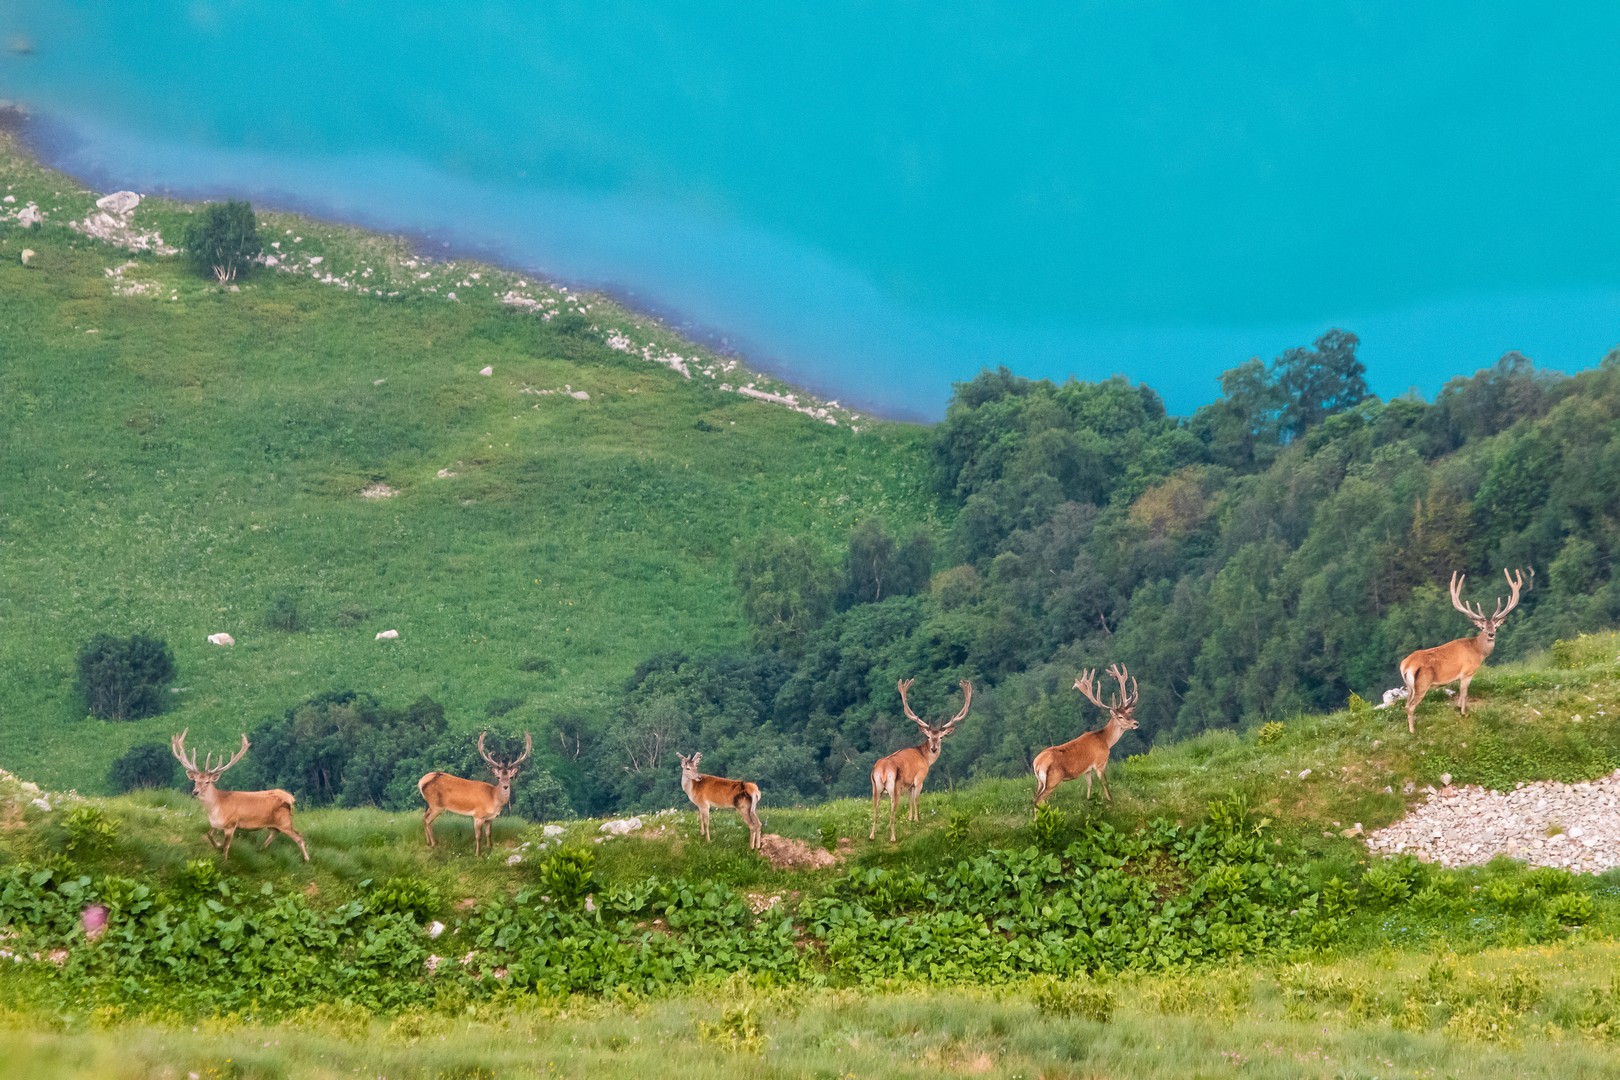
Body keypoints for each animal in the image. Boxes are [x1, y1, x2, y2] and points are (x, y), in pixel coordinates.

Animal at [169, 725, 307, 861]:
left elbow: (227, 847)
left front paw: (224, 860)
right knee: (274, 833)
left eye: (207, 782)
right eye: (195, 780)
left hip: (285, 821)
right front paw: (218, 845)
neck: (217, 807)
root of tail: (291, 798)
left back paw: (306, 859)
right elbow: (209, 835)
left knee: (299, 836)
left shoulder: (231, 824)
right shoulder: (215, 824)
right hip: (275, 824)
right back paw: (260, 849)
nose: (195, 792)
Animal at [868, 676, 965, 841]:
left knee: (875, 811)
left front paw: (910, 819)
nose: (934, 748)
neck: (925, 758)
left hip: (875, 787)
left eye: (940, 737)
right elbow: (916, 800)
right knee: (892, 813)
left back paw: (872, 836)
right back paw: (893, 837)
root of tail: (882, 770)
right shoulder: (919, 778)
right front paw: (917, 819)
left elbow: (910, 800)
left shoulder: (908, 784)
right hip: (893, 787)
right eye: (929, 737)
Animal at [1030, 667, 1146, 809]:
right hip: (1053, 779)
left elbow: (1089, 785)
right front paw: (1110, 801)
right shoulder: (1100, 762)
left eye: (1129, 713)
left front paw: (1089, 801)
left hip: (1039, 782)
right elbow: (1104, 783)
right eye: (1120, 716)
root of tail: (1036, 764)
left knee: (1035, 798)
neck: (1106, 740)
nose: (1136, 723)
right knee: (1038, 800)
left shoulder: (1087, 770)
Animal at [1393, 566, 1529, 735]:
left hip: (1410, 687)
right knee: (1410, 706)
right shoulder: (1467, 672)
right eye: (1483, 628)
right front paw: (1464, 713)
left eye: (1495, 627)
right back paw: (1413, 731)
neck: (1477, 651)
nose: (1491, 634)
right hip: (1422, 683)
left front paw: (1457, 707)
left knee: (1406, 704)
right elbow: (1465, 692)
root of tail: (1406, 665)